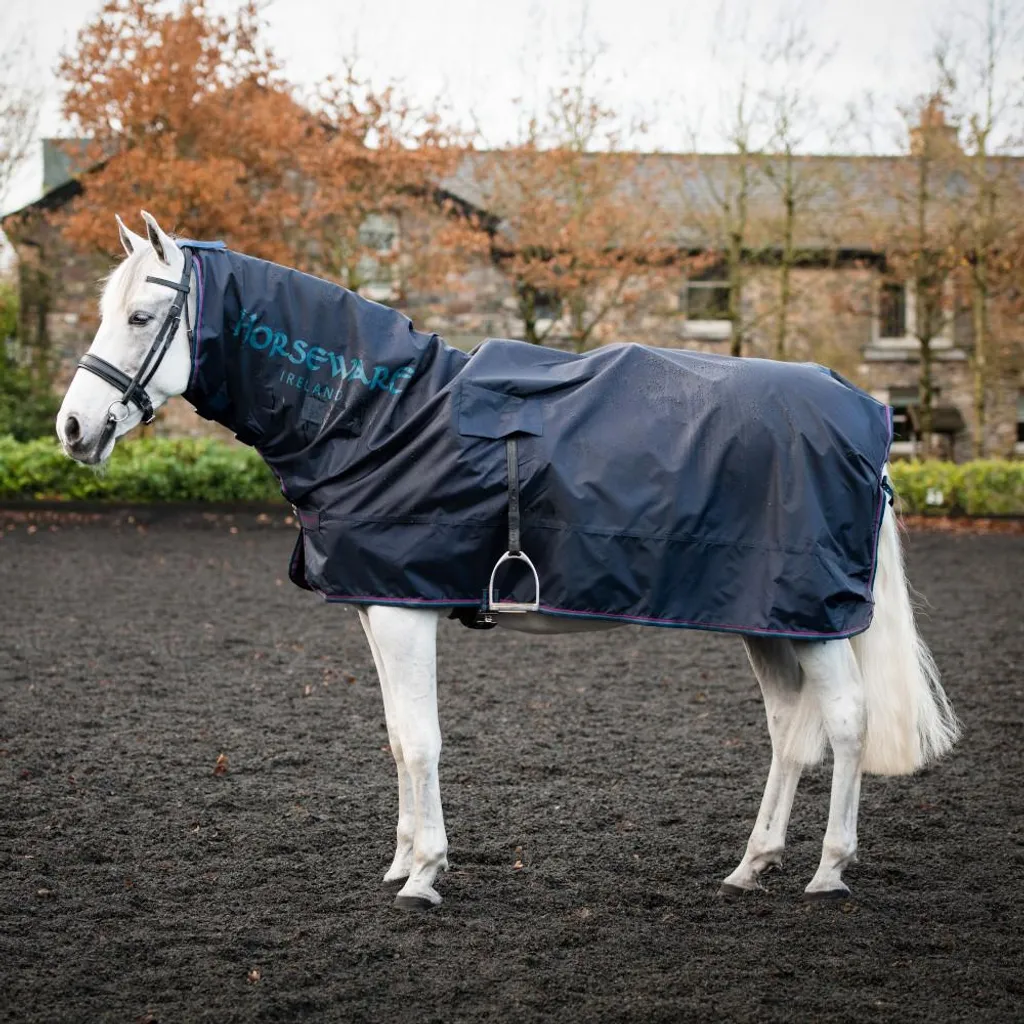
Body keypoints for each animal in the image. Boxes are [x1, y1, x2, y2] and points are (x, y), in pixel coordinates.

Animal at [55, 211, 960, 910]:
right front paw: (401, 861)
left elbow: (422, 741)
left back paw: (828, 871)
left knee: (846, 723)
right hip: (769, 619)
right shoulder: (377, 606)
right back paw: (751, 866)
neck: (380, 414)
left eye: (141, 317)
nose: (71, 428)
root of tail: (863, 413)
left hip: (814, 621)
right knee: (789, 733)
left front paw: (425, 876)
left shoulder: (405, 611)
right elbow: (397, 739)